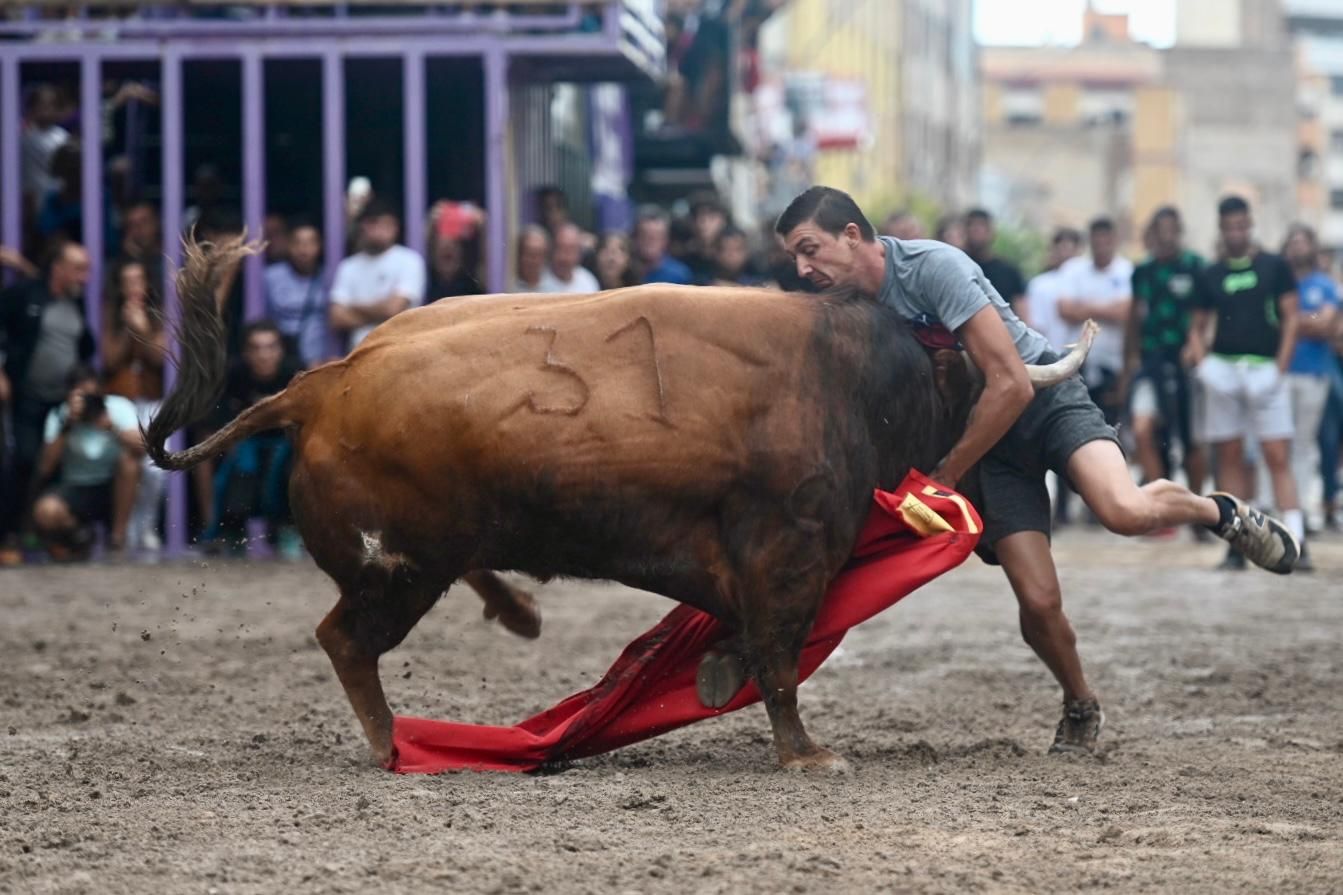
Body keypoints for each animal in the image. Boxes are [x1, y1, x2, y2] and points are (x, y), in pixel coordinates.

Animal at [147, 236, 1090, 768]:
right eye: (970, 381)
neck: (850, 379)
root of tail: (321, 382)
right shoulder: (787, 553)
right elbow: (780, 656)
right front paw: (806, 755)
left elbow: (749, 644)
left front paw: (716, 675)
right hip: (399, 570)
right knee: (345, 638)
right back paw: (391, 743)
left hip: (424, 558)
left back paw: (511, 621)